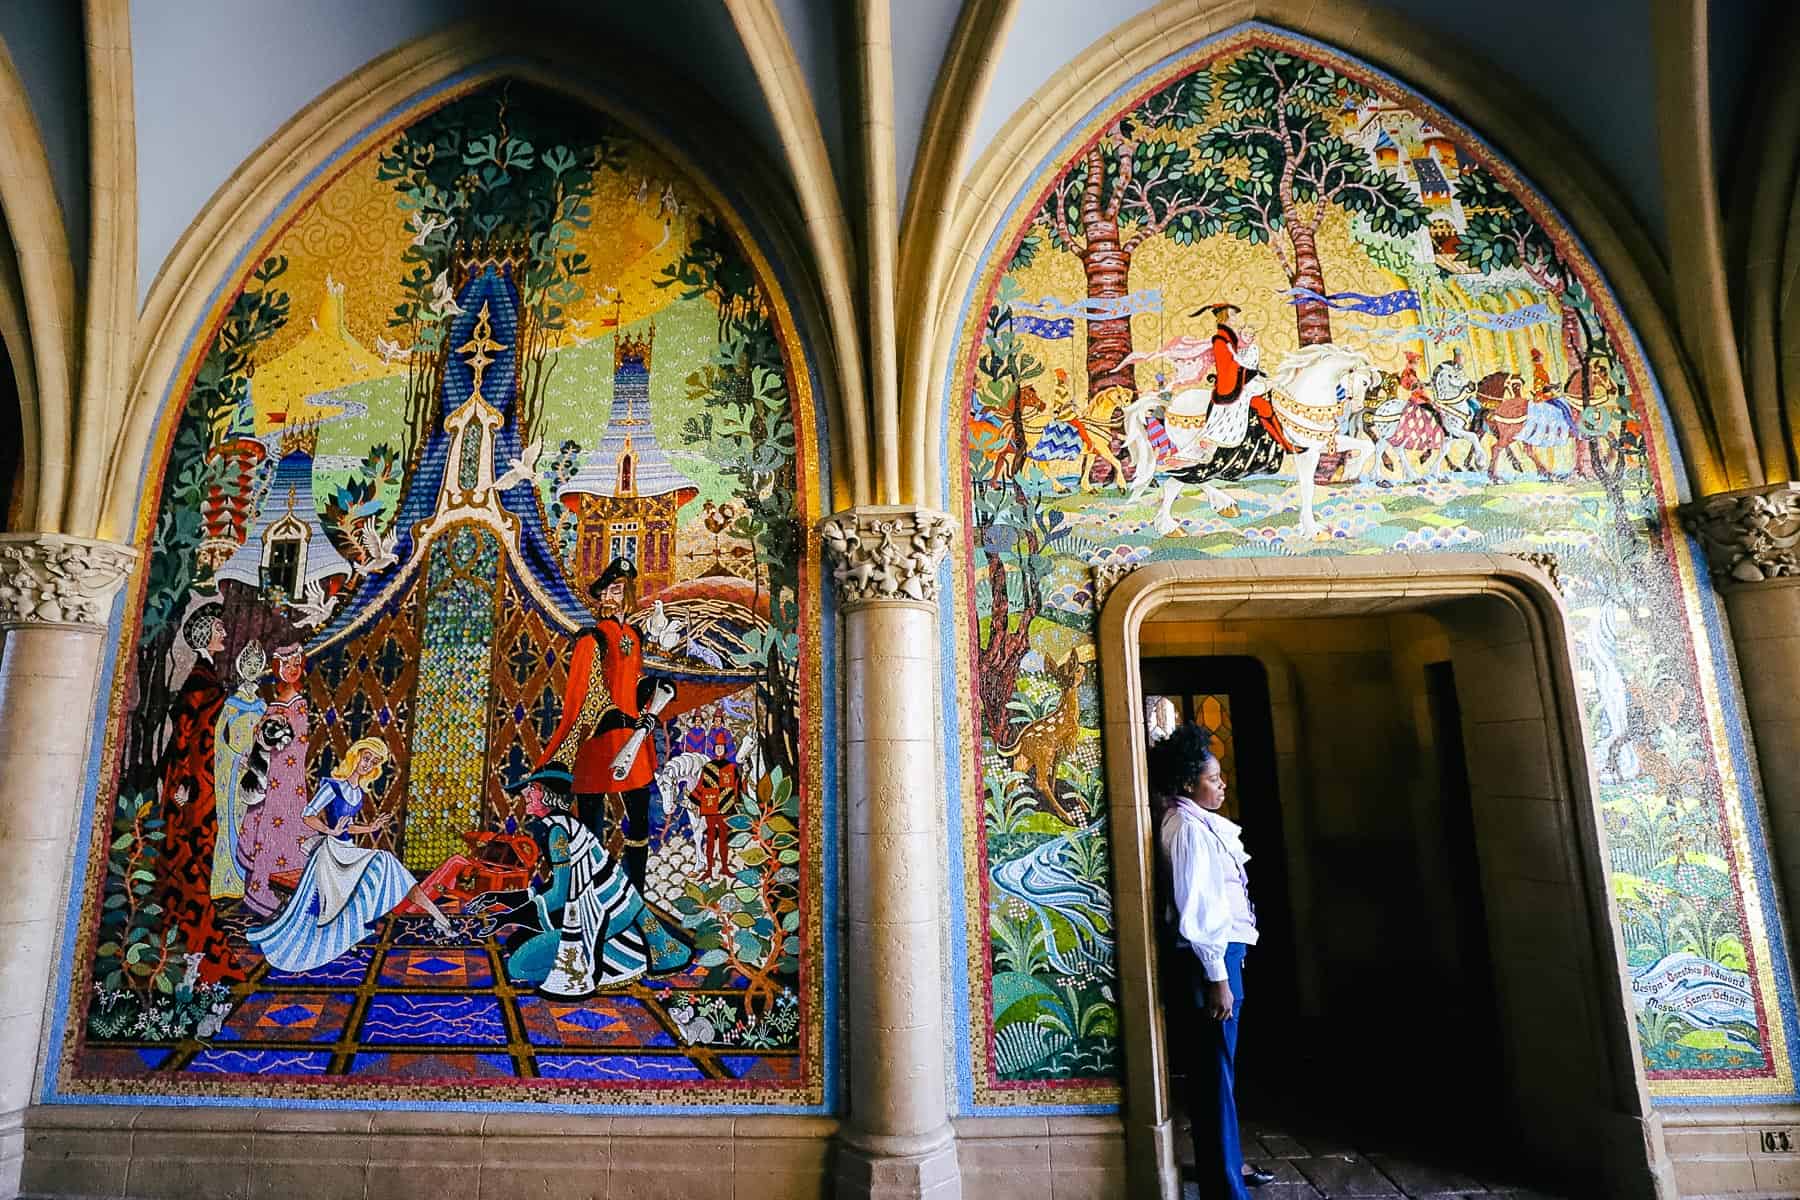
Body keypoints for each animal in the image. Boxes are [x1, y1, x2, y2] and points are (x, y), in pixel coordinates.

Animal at [993, 647, 1087, 827]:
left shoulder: (1058, 748)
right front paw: (1083, 806)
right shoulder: (1070, 740)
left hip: (1024, 759)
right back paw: (1067, 817)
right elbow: (1075, 770)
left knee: (1013, 780)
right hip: (1042, 754)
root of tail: (1020, 742)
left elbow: (1056, 770)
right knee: (1039, 782)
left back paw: (1008, 816)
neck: (1070, 714)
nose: (1084, 667)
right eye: (1077, 669)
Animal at [1130, 341, 1382, 539]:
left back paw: (1224, 505)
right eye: (1364, 383)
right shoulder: (1306, 452)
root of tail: (1169, 405)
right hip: (1199, 452)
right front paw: (1313, 530)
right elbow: (1307, 487)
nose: (1358, 407)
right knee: (1176, 482)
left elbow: (1366, 446)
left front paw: (1351, 470)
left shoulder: (1320, 443)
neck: (1303, 401)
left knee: (1191, 479)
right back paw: (1170, 526)